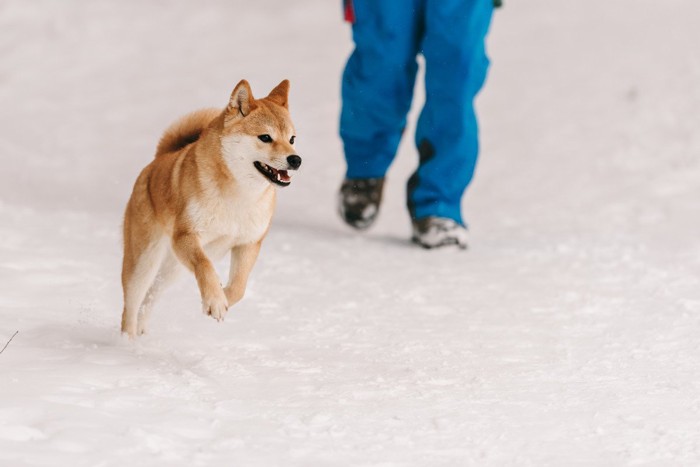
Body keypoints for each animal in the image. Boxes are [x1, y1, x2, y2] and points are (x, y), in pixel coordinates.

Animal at [121, 79, 300, 336]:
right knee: (131, 305)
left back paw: (142, 329)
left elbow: (238, 287)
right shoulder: (186, 236)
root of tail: (157, 160)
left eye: (292, 139)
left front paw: (222, 299)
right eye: (265, 137)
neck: (238, 196)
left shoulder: (249, 243)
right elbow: (205, 266)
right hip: (144, 262)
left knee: (152, 295)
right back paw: (127, 340)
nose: (296, 160)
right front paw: (215, 301)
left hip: (174, 267)